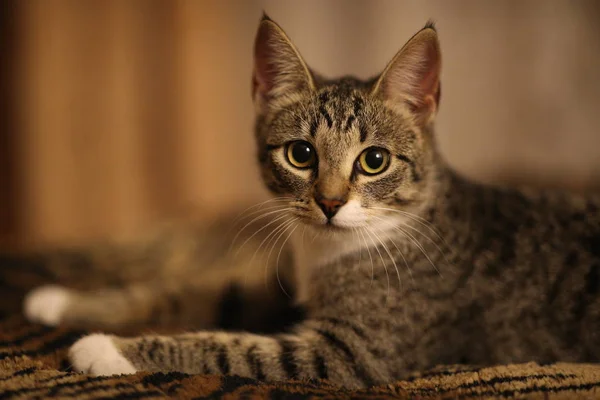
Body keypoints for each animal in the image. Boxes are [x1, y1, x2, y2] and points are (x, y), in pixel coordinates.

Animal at [16, 14, 600, 388]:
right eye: (301, 154)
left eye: (374, 160)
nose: (330, 202)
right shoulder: (280, 288)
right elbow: (199, 294)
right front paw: (62, 302)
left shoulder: (355, 352)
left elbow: (236, 347)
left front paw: (105, 348)